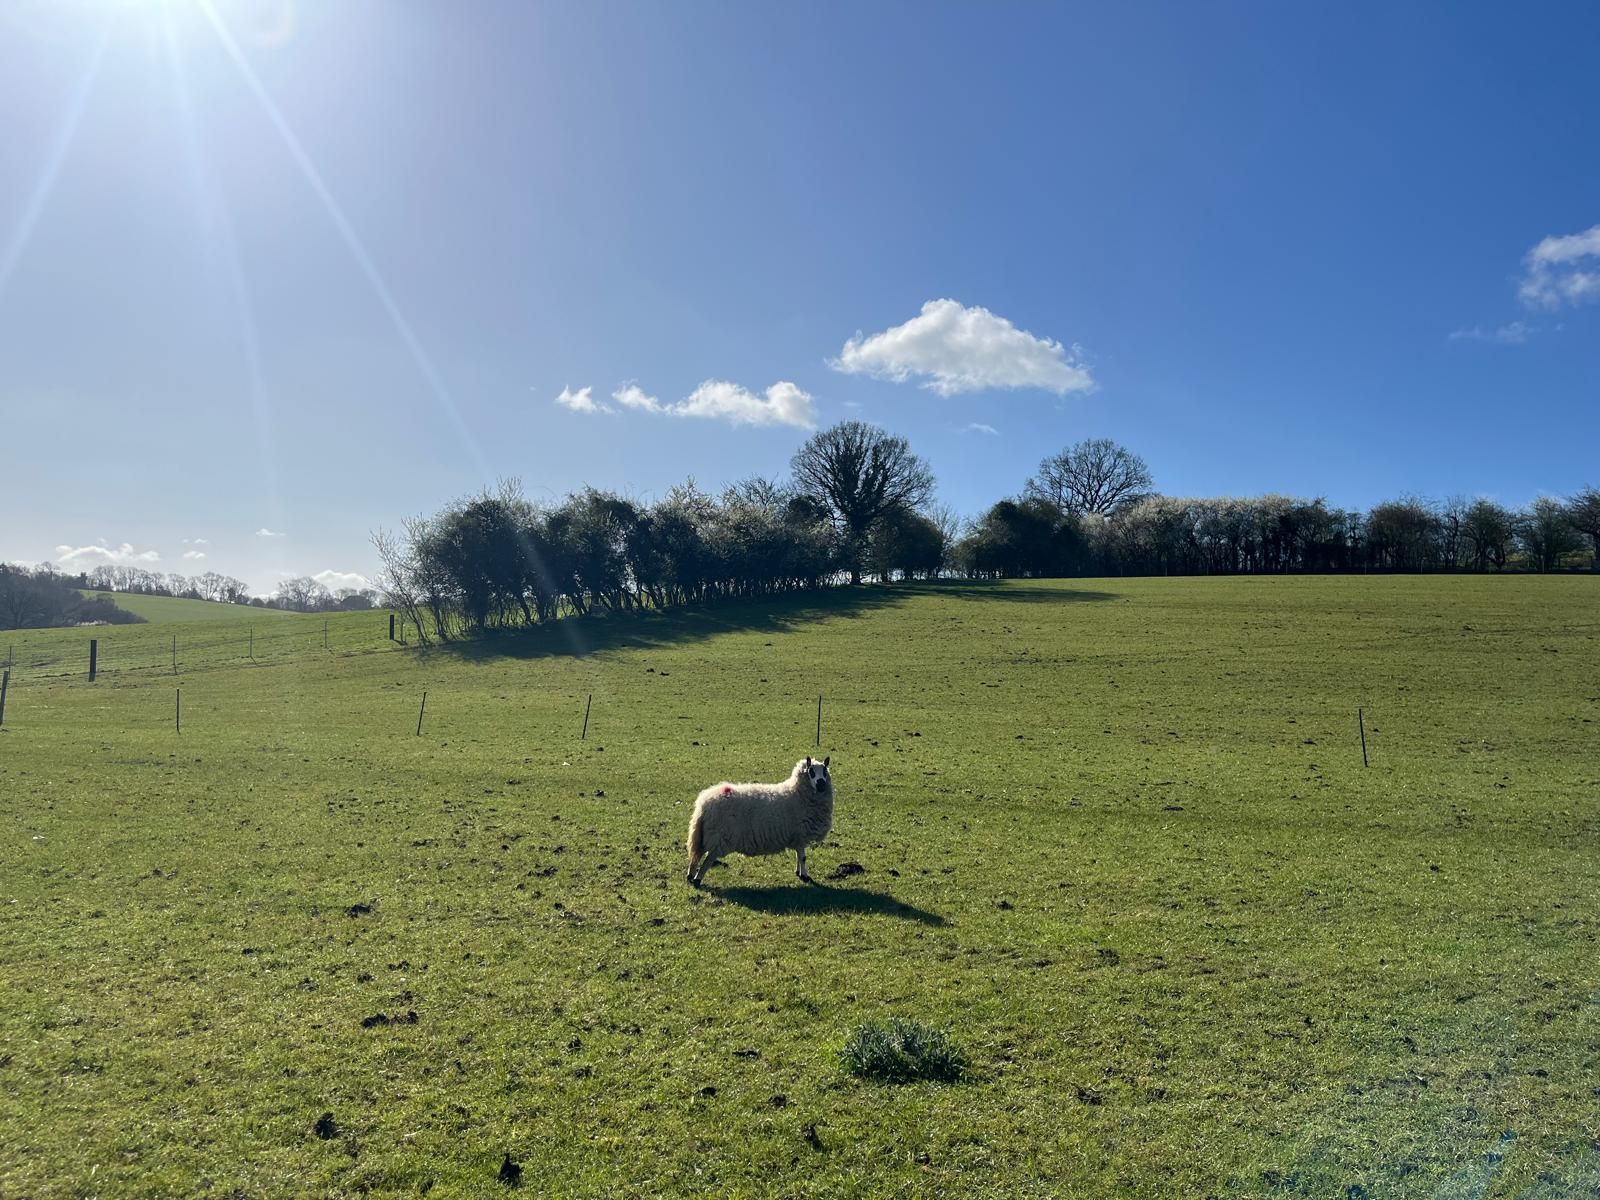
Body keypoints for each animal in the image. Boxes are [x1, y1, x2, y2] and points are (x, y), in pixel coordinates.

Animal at [686, 756, 833, 886]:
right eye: (811, 771)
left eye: (825, 771)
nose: (821, 784)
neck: (798, 794)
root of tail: (704, 804)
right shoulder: (800, 833)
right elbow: (802, 857)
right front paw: (805, 876)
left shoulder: (797, 837)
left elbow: (798, 855)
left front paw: (798, 872)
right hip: (719, 838)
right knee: (707, 860)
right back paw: (697, 880)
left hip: (704, 834)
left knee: (696, 856)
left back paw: (690, 876)